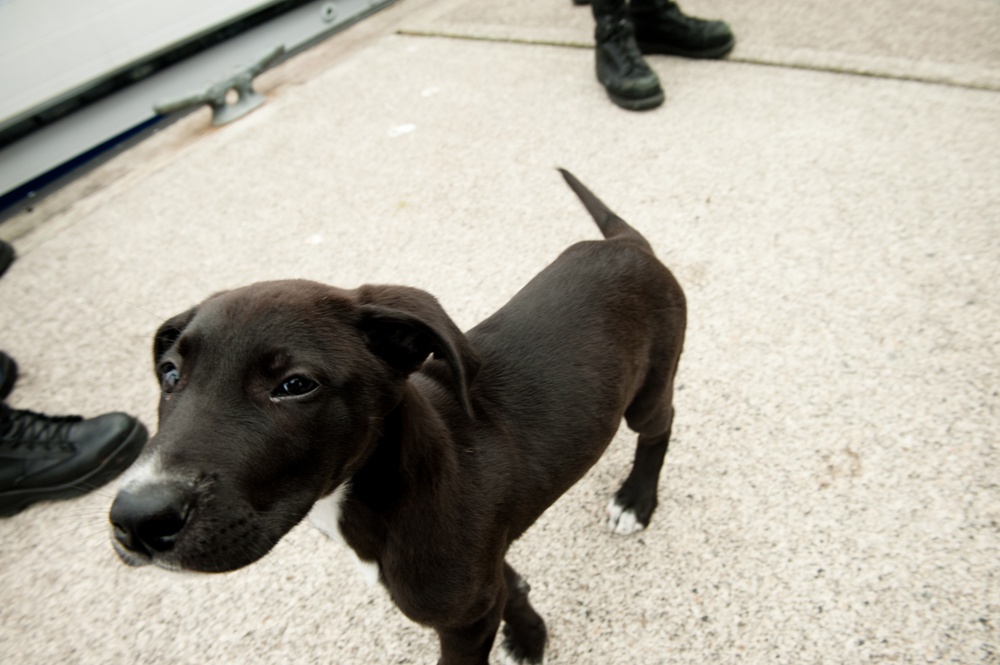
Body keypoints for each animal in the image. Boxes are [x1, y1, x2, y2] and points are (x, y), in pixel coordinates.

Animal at [111, 170, 688, 664]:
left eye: (295, 385)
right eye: (169, 375)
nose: (136, 519)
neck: (387, 489)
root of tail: (627, 245)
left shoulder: (461, 619)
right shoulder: (481, 573)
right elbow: (508, 584)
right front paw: (528, 633)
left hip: (648, 391)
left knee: (660, 425)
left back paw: (636, 499)